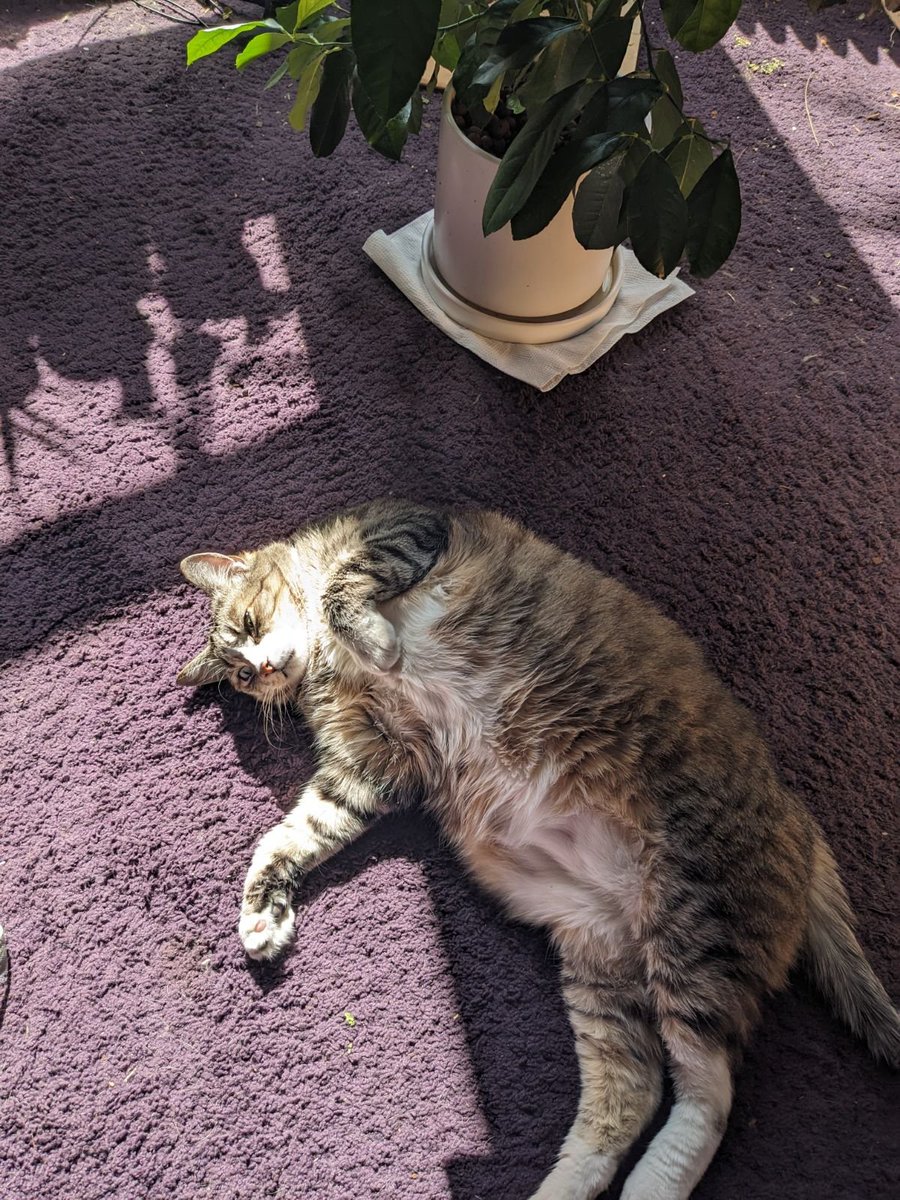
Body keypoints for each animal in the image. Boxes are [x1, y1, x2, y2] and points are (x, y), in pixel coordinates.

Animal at [177, 496, 900, 1200]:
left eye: (248, 622)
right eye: (240, 675)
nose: (264, 667)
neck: (324, 666)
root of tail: (800, 821)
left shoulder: (409, 529)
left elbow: (342, 587)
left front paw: (376, 638)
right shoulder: (373, 762)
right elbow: (292, 835)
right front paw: (261, 916)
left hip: (696, 925)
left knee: (709, 1095)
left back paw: (651, 1184)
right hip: (607, 971)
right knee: (633, 1094)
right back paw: (567, 1185)